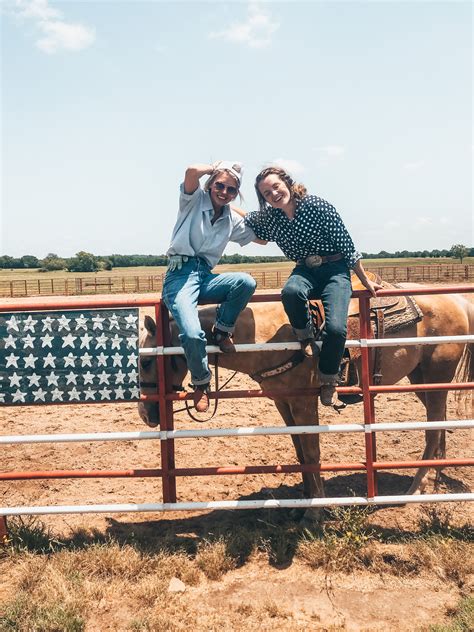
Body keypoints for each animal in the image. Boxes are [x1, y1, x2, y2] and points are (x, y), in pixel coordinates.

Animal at [138, 288, 474, 516]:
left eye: (145, 361)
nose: (145, 414)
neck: (264, 335)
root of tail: (457, 301)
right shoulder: (283, 402)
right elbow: (299, 450)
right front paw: (302, 501)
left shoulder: (303, 402)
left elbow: (312, 452)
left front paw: (315, 510)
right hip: (422, 380)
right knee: (439, 426)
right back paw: (434, 478)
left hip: (436, 377)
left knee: (433, 431)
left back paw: (414, 491)